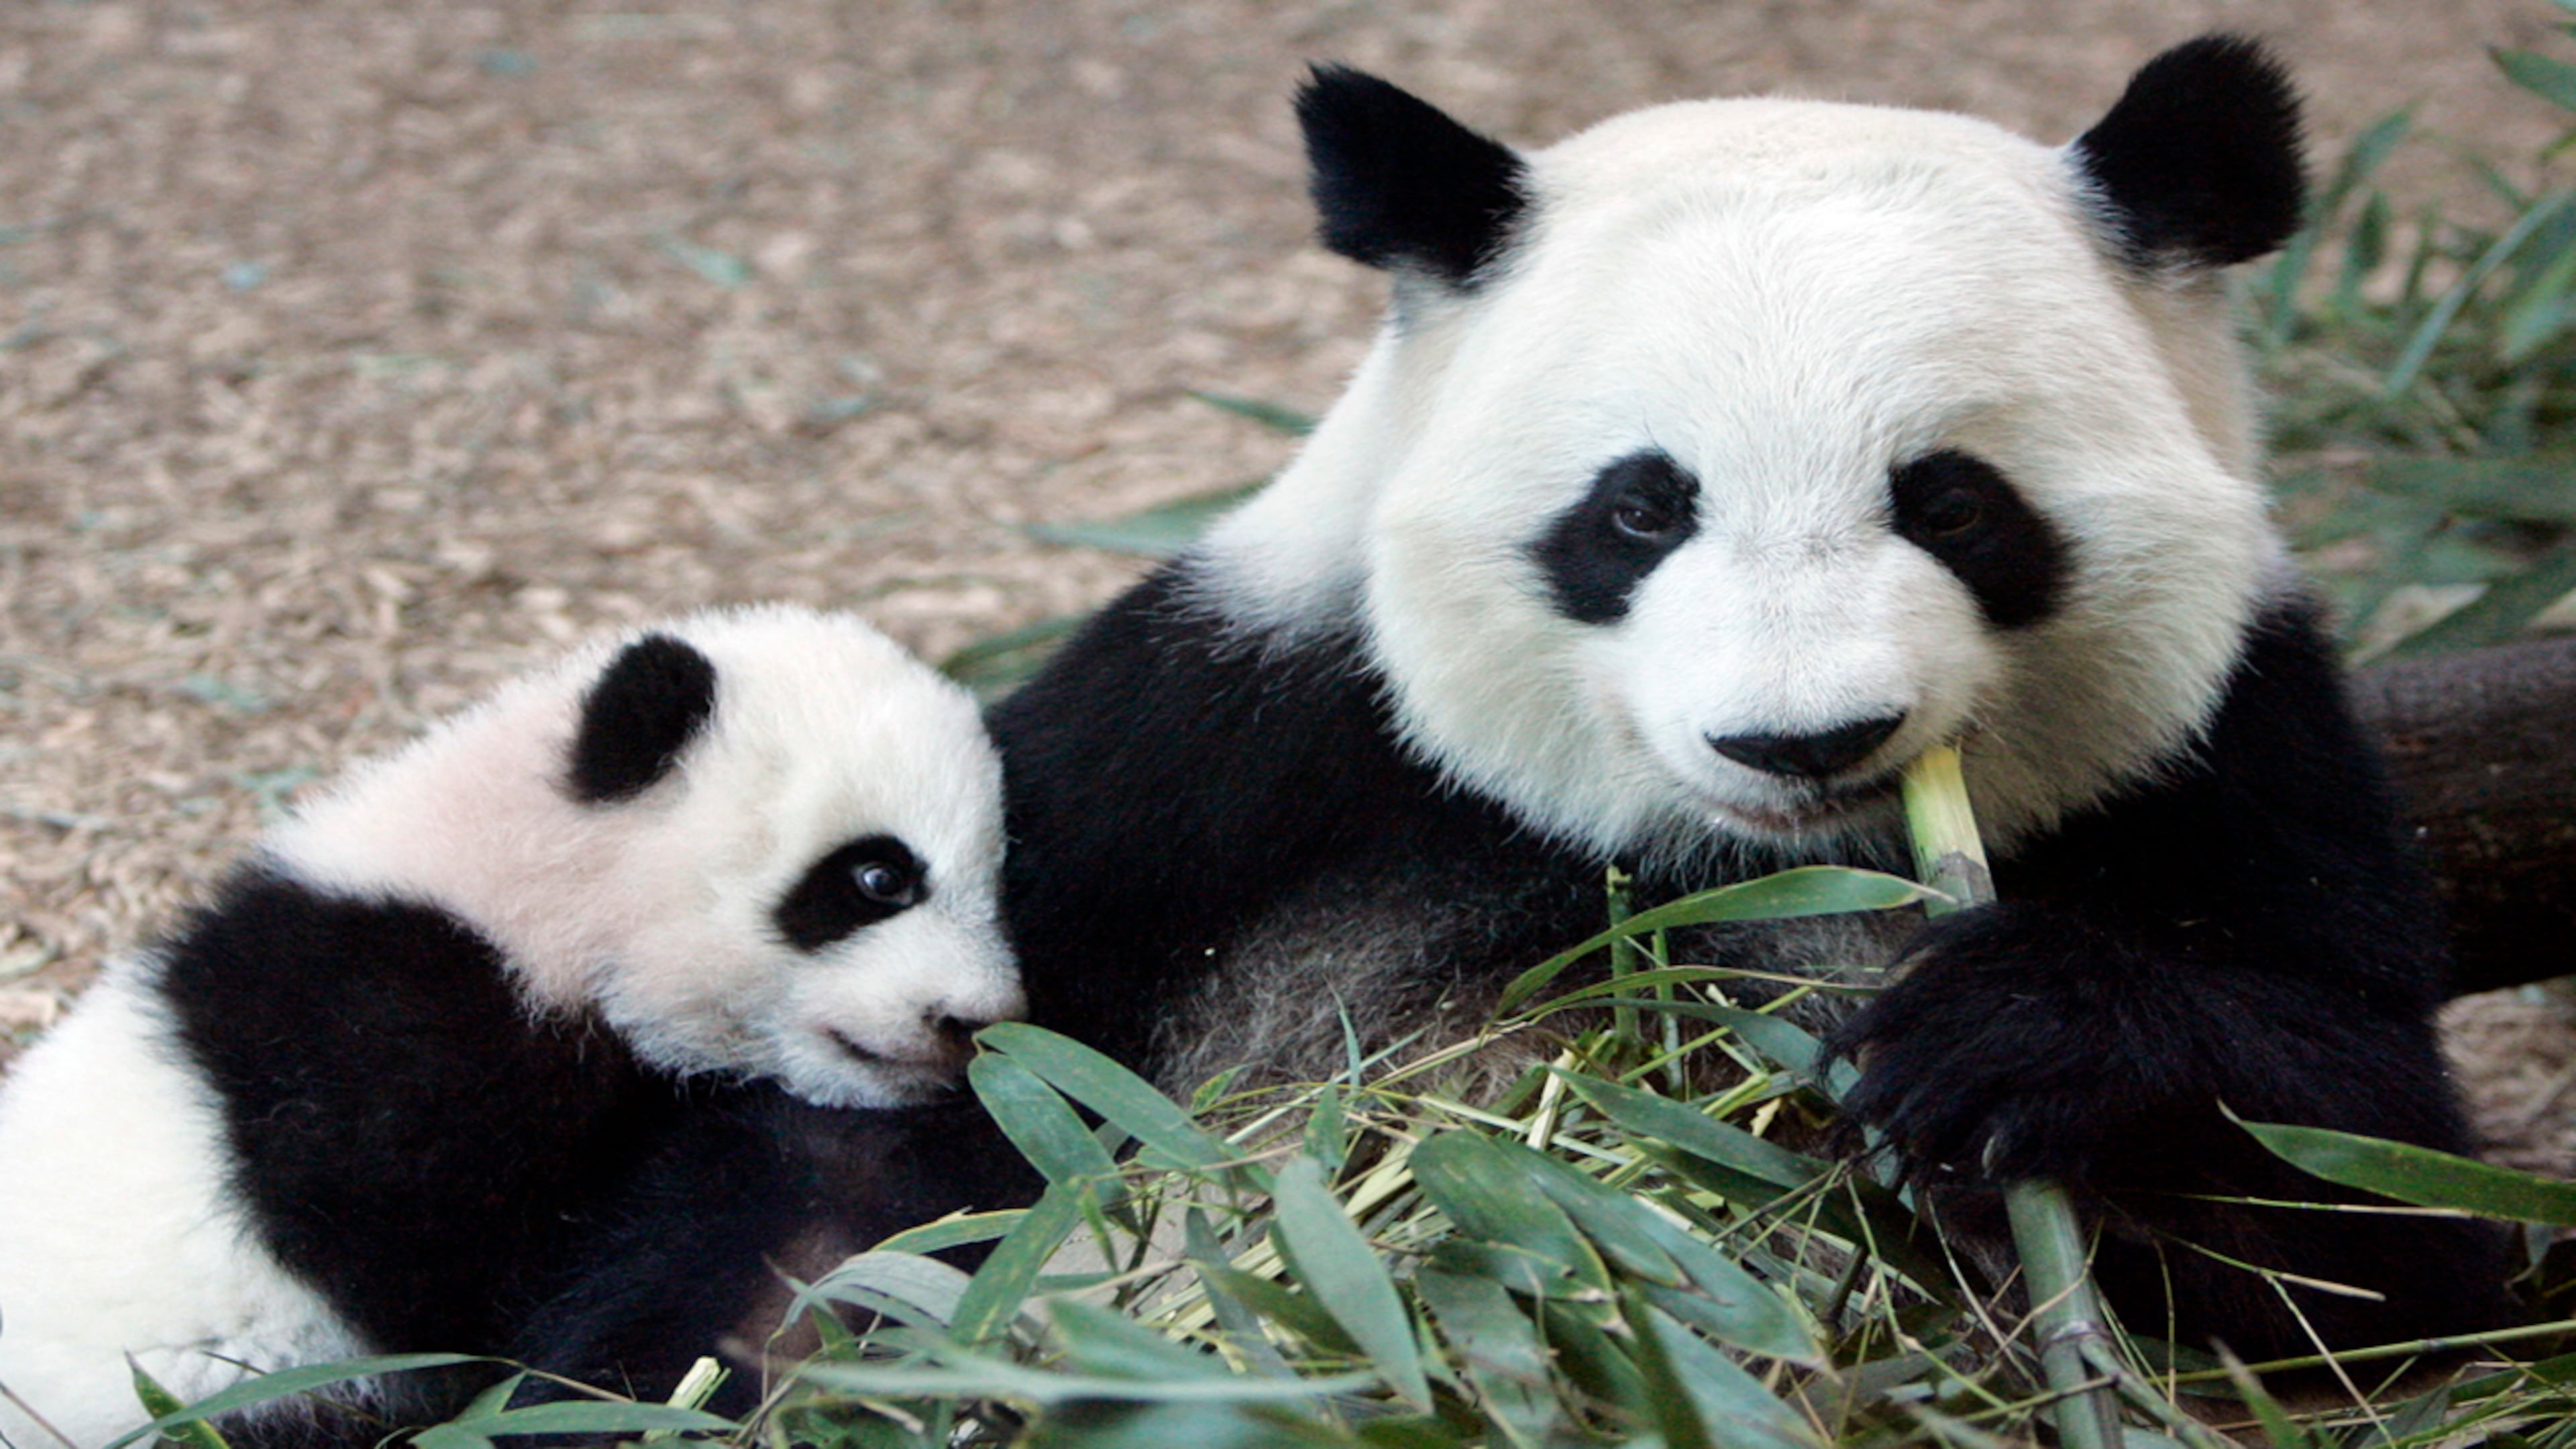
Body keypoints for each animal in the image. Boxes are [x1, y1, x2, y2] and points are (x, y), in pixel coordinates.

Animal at [990, 38, 2510, 1359]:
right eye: (1641, 509)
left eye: (1954, 504)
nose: (1804, 741)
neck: (1742, 866)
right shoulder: (1218, 754)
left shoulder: (2234, 755)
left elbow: (2378, 1209)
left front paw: (2005, 1033)